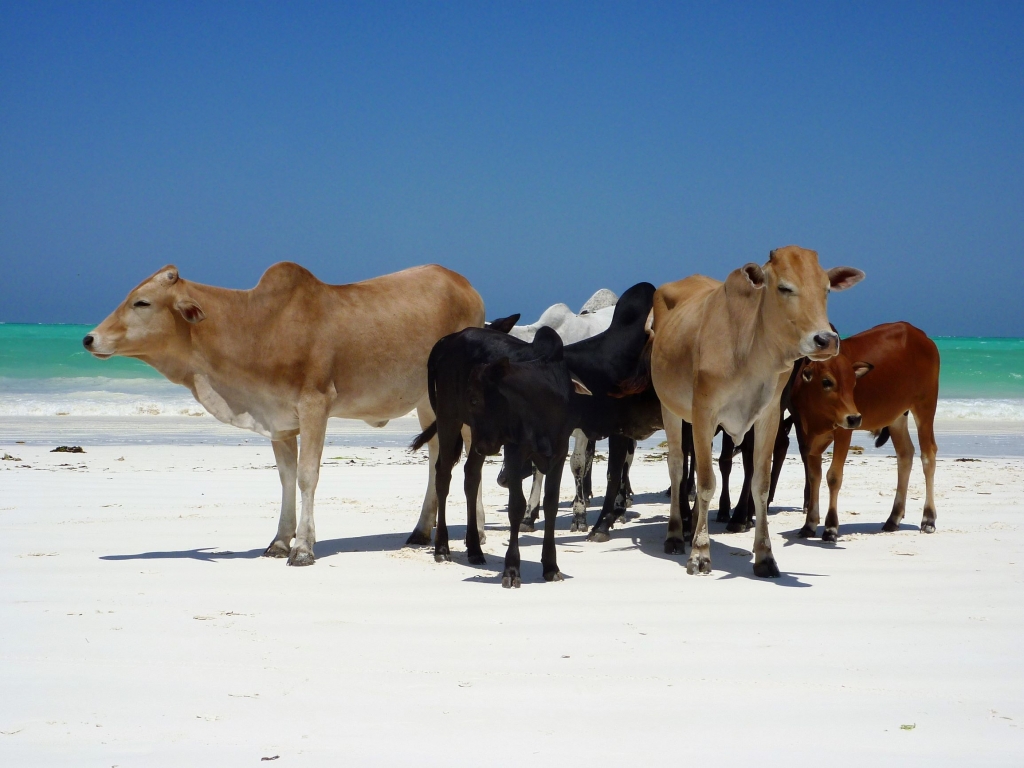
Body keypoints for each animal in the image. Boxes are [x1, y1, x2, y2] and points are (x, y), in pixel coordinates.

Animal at [86, 264, 485, 565]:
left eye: (142, 302)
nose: (89, 338)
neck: (258, 326)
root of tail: (467, 286)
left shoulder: (315, 405)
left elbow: (307, 476)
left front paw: (304, 547)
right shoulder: (278, 421)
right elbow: (285, 478)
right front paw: (279, 541)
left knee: (468, 453)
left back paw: (477, 531)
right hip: (427, 403)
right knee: (437, 455)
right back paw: (420, 531)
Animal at [651, 246, 860, 577]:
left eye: (827, 289)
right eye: (784, 287)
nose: (826, 340)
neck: (749, 350)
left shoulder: (768, 417)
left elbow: (759, 484)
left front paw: (765, 556)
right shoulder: (703, 413)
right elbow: (706, 482)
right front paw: (700, 553)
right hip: (670, 406)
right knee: (676, 465)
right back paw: (674, 533)